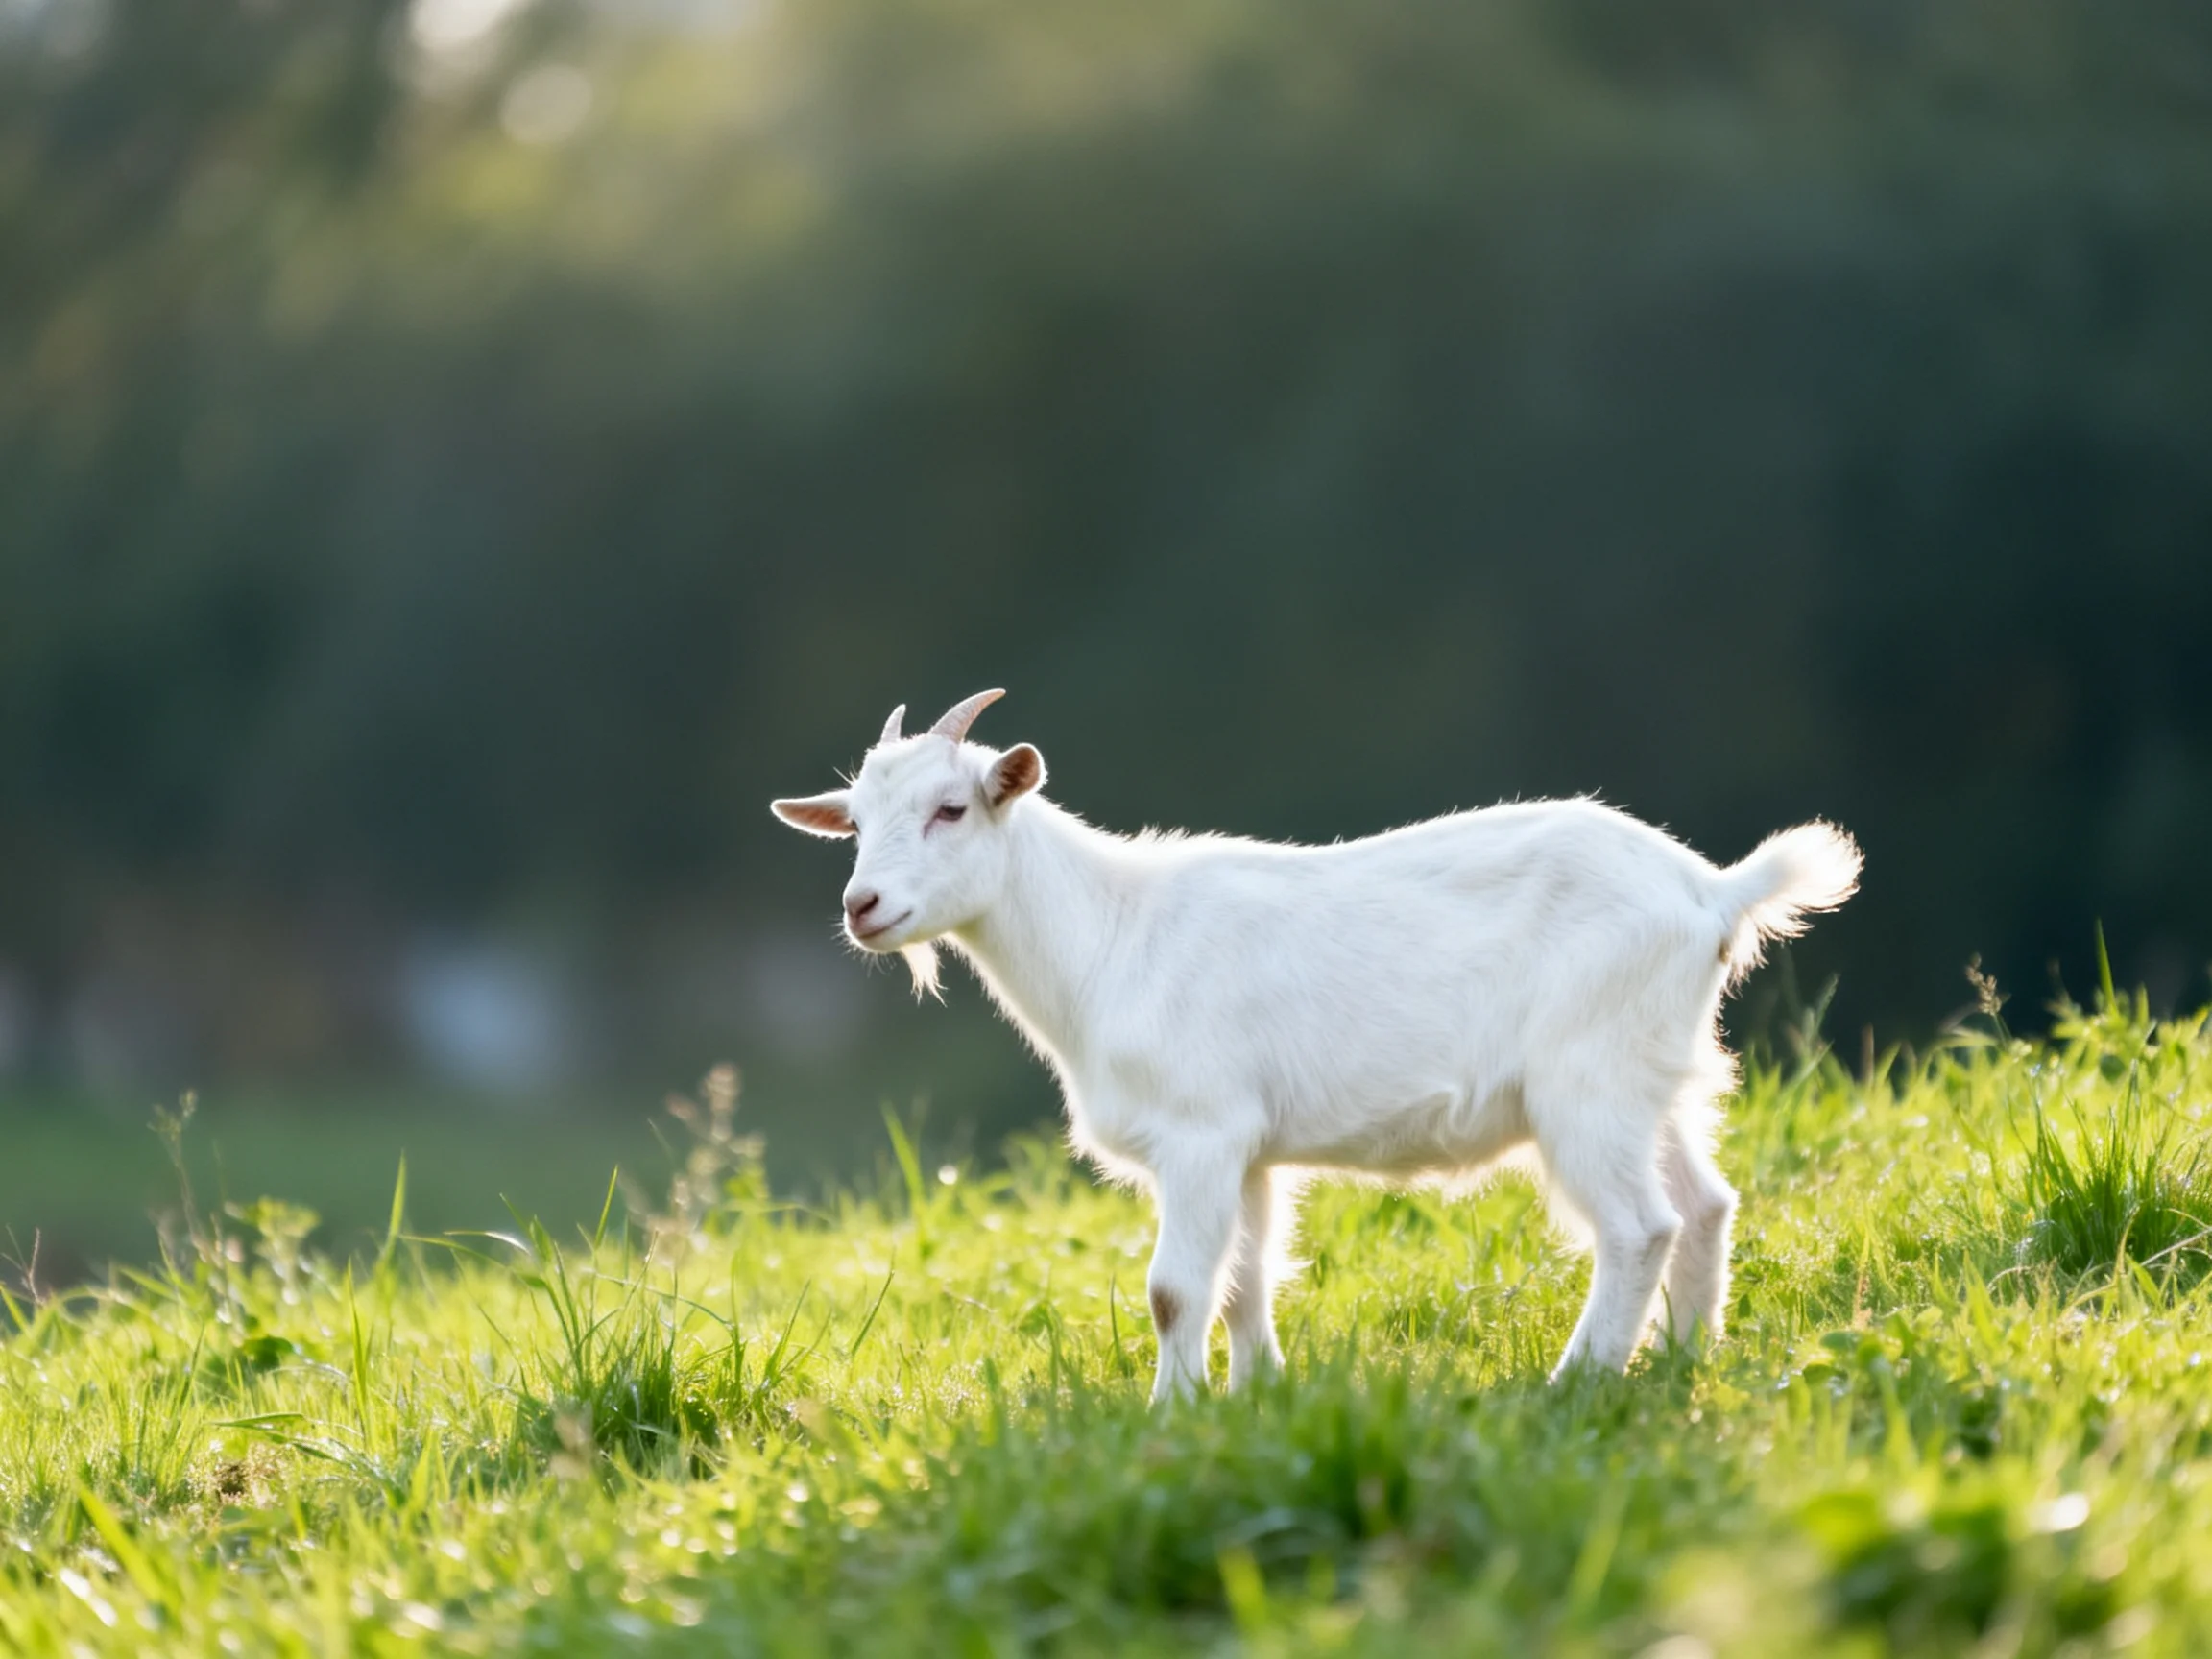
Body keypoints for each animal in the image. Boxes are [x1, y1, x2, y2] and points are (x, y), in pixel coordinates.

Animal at [772, 690, 1861, 1402]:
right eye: (854, 824)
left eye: (951, 809)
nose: (863, 906)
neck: (1110, 936)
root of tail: (1710, 891)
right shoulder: (1249, 1150)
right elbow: (1246, 1283)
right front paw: (1256, 1398)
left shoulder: (1200, 1132)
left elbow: (1175, 1290)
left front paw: (1169, 1416)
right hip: (1653, 1074)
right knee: (1704, 1204)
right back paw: (1682, 1362)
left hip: (1584, 1083)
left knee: (1639, 1226)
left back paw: (1576, 1383)